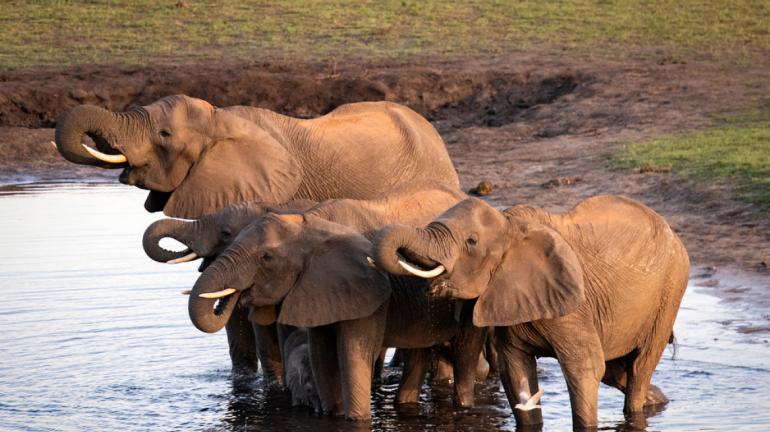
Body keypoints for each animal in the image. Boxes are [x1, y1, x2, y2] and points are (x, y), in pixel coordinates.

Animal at [188, 214, 486, 420]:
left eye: (266, 257)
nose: (235, 296)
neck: (312, 235)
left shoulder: (368, 300)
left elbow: (352, 358)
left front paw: (356, 418)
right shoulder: (318, 294)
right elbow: (322, 359)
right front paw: (333, 414)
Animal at [368, 195, 688, 428]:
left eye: (471, 242)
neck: (509, 225)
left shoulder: (573, 304)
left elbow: (585, 366)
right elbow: (516, 370)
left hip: (671, 290)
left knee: (638, 368)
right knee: (617, 371)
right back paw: (658, 400)